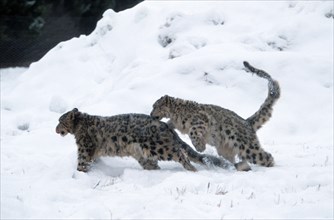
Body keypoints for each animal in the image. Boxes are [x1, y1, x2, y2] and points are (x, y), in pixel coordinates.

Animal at [55, 108, 232, 172]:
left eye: (60, 121)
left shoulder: (85, 148)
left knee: (180, 154)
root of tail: (165, 125)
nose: (55, 129)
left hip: (160, 148)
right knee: (154, 163)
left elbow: (82, 161)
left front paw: (80, 173)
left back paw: (191, 169)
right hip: (143, 154)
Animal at [151, 61, 280, 171]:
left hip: (247, 147)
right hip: (226, 150)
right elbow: (170, 124)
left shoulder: (201, 120)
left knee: (265, 156)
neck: (176, 115)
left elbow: (193, 131)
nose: (151, 114)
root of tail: (246, 122)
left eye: (155, 106)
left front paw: (200, 147)